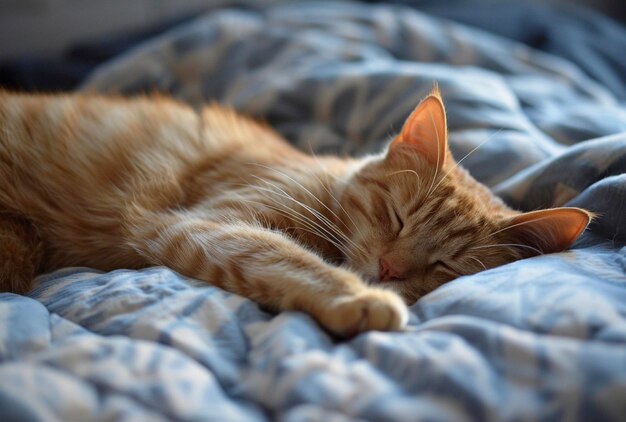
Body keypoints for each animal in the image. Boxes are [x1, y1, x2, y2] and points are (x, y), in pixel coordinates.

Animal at [0, 88, 588, 336]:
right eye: (396, 217)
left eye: (444, 265)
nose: (389, 270)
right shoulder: (202, 223)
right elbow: (285, 257)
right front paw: (358, 299)